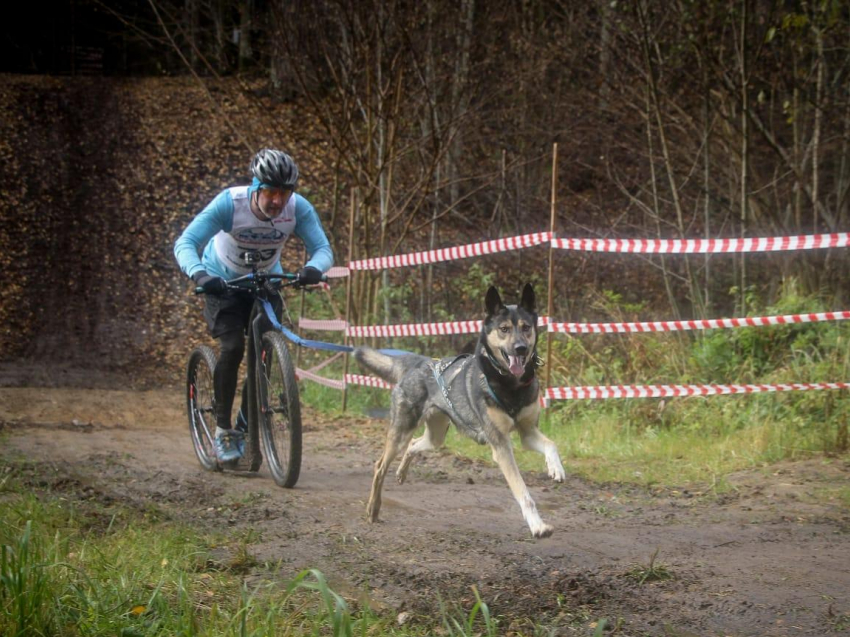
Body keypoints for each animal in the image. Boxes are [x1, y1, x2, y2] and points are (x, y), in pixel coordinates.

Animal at [354, 284, 568, 536]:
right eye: (504, 329)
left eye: (526, 327)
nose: (521, 349)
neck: (509, 385)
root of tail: (420, 363)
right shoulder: (501, 445)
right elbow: (522, 491)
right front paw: (537, 525)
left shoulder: (527, 432)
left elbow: (551, 444)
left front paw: (556, 469)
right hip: (401, 431)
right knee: (380, 467)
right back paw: (373, 509)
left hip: (436, 436)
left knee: (414, 444)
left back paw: (401, 473)